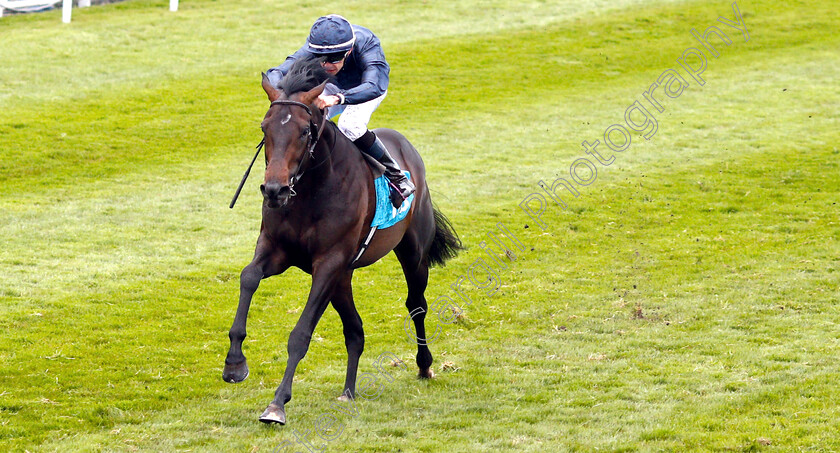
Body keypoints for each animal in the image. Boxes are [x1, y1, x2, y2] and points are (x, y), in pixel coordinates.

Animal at [220, 57, 462, 424]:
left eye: (304, 132)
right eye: (264, 128)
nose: (274, 190)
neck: (310, 190)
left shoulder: (328, 263)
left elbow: (301, 333)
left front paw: (277, 404)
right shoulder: (278, 251)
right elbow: (248, 276)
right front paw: (235, 363)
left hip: (411, 252)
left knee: (416, 305)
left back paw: (424, 366)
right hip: (343, 277)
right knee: (355, 329)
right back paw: (348, 390)